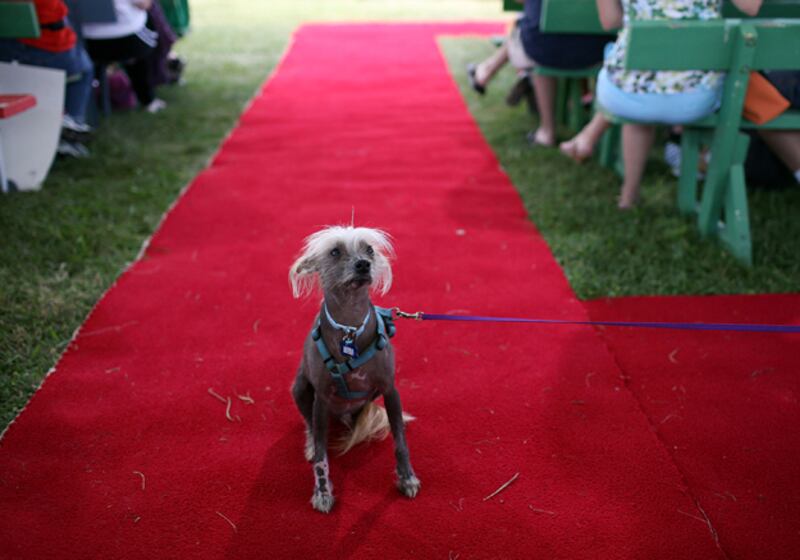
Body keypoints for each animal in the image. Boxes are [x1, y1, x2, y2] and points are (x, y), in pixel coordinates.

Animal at [290, 225, 422, 516]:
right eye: (335, 252)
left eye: (369, 250)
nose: (364, 264)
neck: (349, 326)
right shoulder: (321, 399)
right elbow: (321, 456)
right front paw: (322, 492)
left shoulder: (390, 390)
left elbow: (401, 442)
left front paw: (406, 478)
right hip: (300, 388)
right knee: (310, 425)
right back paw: (309, 444)